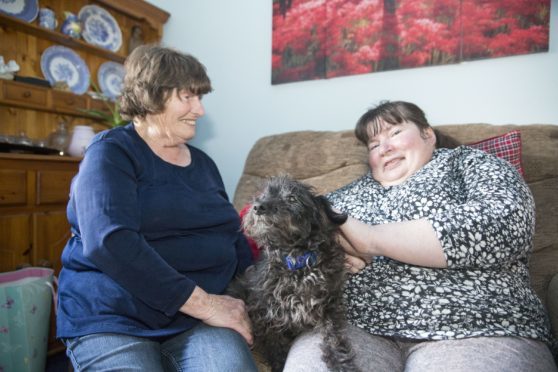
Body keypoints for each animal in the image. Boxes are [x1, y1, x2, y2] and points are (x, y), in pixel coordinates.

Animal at [236, 177, 358, 372]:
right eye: (263, 195)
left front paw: (342, 364)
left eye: (292, 198)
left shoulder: (330, 305)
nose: (258, 207)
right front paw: (279, 365)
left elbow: (334, 337)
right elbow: (276, 347)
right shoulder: (266, 316)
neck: (297, 265)